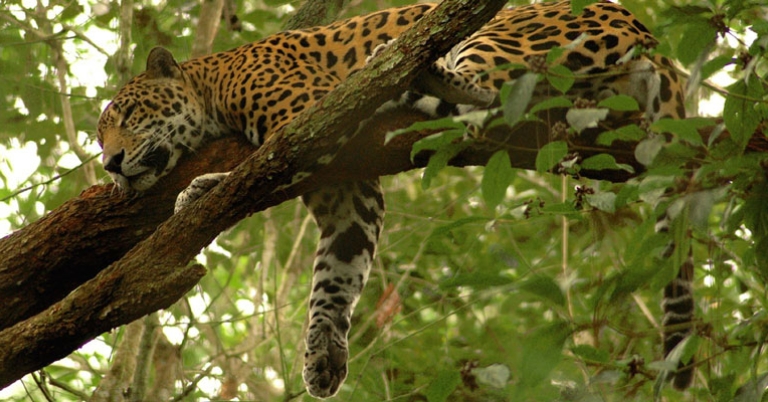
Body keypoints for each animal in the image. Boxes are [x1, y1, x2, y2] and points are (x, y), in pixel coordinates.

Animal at [97, 1, 692, 397]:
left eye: (127, 115)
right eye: (100, 137)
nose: (110, 164)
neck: (212, 83)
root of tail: (655, 41)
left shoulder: (308, 121)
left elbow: (260, 167)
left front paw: (202, 187)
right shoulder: (347, 197)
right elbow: (336, 277)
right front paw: (323, 357)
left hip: (501, 35)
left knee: (488, 93)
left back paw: (401, 69)